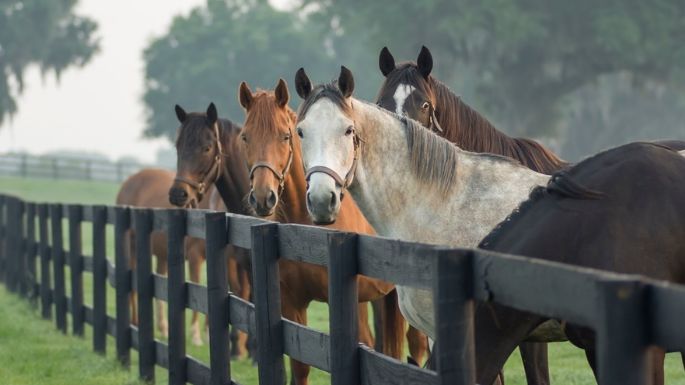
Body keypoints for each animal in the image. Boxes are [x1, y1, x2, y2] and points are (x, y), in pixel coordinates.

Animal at [236, 79, 428, 382]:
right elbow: (300, 366)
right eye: (245, 137)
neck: (307, 232)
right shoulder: (293, 304)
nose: (264, 197)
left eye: (285, 136)